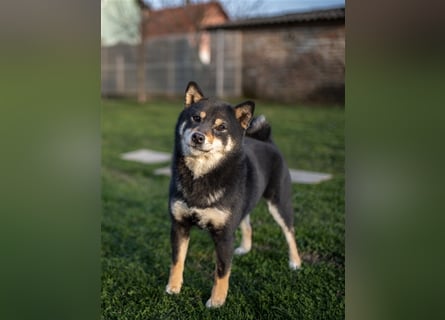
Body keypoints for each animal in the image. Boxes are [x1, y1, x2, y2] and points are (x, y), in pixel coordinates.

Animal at [166, 82, 302, 308]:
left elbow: (221, 271)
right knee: (248, 224)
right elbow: (177, 260)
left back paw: (295, 262)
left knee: (289, 232)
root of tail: (268, 141)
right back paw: (245, 248)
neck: (201, 175)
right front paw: (173, 288)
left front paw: (216, 301)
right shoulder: (179, 225)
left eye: (221, 127)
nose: (198, 137)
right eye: (196, 118)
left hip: (279, 204)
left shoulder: (224, 235)